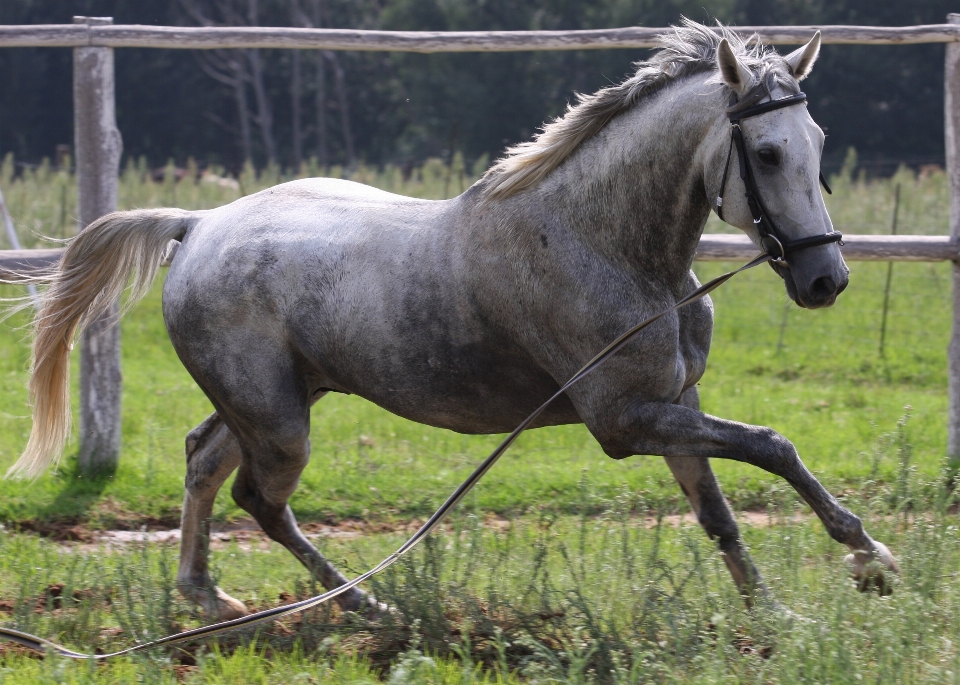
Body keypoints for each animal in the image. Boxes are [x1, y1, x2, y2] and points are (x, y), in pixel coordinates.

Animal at [11, 22, 900, 620]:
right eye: (769, 152)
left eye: (818, 139)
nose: (826, 279)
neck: (607, 245)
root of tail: (196, 226)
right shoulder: (624, 419)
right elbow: (773, 445)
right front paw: (871, 558)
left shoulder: (674, 404)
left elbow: (719, 514)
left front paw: (775, 615)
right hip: (281, 421)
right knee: (257, 499)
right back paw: (367, 608)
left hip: (277, 401)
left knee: (202, 459)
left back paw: (208, 598)